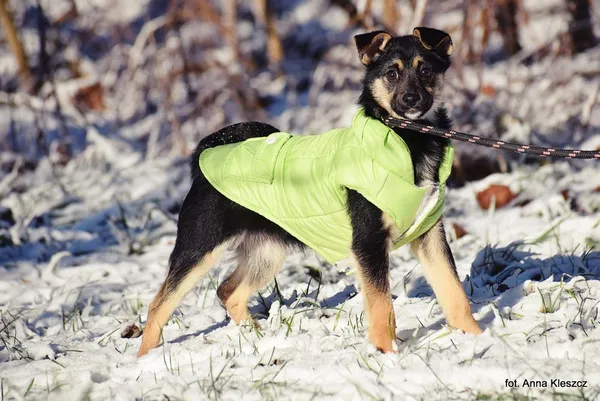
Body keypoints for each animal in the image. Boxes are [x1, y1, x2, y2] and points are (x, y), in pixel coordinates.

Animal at [137, 26, 482, 356]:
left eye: (426, 70)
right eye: (391, 74)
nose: (411, 100)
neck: (409, 139)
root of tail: (205, 154)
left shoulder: (430, 235)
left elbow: (453, 291)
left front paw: (475, 337)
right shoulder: (368, 242)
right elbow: (382, 305)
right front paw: (386, 353)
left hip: (266, 252)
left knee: (228, 291)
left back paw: (255, 335)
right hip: (200, 246)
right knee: (158, 306)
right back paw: (146, 358)